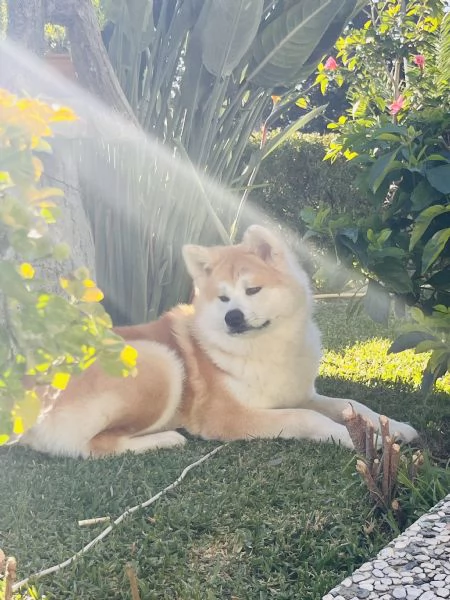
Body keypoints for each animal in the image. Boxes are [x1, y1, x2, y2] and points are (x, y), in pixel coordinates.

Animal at [19, 226, 416, 460]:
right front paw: (358, 439)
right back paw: (166, 439)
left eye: (252, 290)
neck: (267, 349)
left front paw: (394, 425)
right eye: (223, 299)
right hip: (160, 361)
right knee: (96, 446)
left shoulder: (301, 393)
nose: (233, 317)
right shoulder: (230, 416)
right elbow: (306, 418)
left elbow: (351, 404)